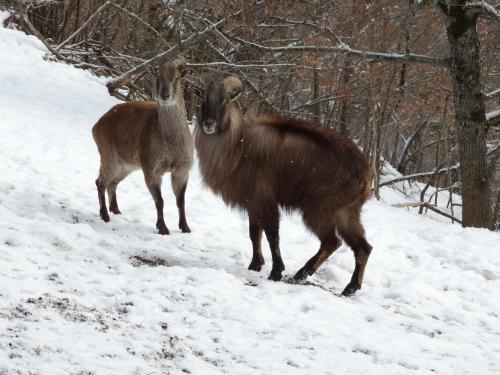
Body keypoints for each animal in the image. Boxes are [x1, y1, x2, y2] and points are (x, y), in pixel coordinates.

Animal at [93, 58, 194, 235]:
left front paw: (185, 227)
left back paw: (115, 209)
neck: (172, 143)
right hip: (108, 156)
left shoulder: (183, 168)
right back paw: (105, 215)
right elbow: (159, 200)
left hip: (127, 165)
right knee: (100, 182)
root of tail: (96, 125)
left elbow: (181, 201)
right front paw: (162, 228)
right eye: (157, 76)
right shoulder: (151, 168)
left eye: (178, 77)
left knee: (112, 183)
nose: (164, 95)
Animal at [193, 76, 374, 296]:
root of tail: (366, 174)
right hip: (346, 213)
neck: (238, 146)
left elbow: (273, 236)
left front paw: (276, 272)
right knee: (363, 247)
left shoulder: (265, 200)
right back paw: (350, 286)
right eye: (202, 98)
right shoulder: (253, 204)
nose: (209, 124)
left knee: (333, 241)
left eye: (224, 100)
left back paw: (302, 273)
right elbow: (254, 234)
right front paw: (255, 265)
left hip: (318, 210)